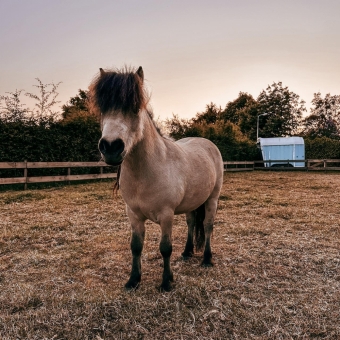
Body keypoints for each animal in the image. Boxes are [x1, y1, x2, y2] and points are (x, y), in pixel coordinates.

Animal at [89, 67, 224, 292]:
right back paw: (187, 252)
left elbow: (165, 248)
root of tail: (207, 143)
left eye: (135, 107)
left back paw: (206, 259)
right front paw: (133, 280)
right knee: (190, 222)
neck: (147, 171)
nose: (111, 147)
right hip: (191, 203)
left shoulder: (166, 215)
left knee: (207, 225)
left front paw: (166, 282)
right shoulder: (133, 215)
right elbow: (136, 247)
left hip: (212, 199)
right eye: (102, 108)